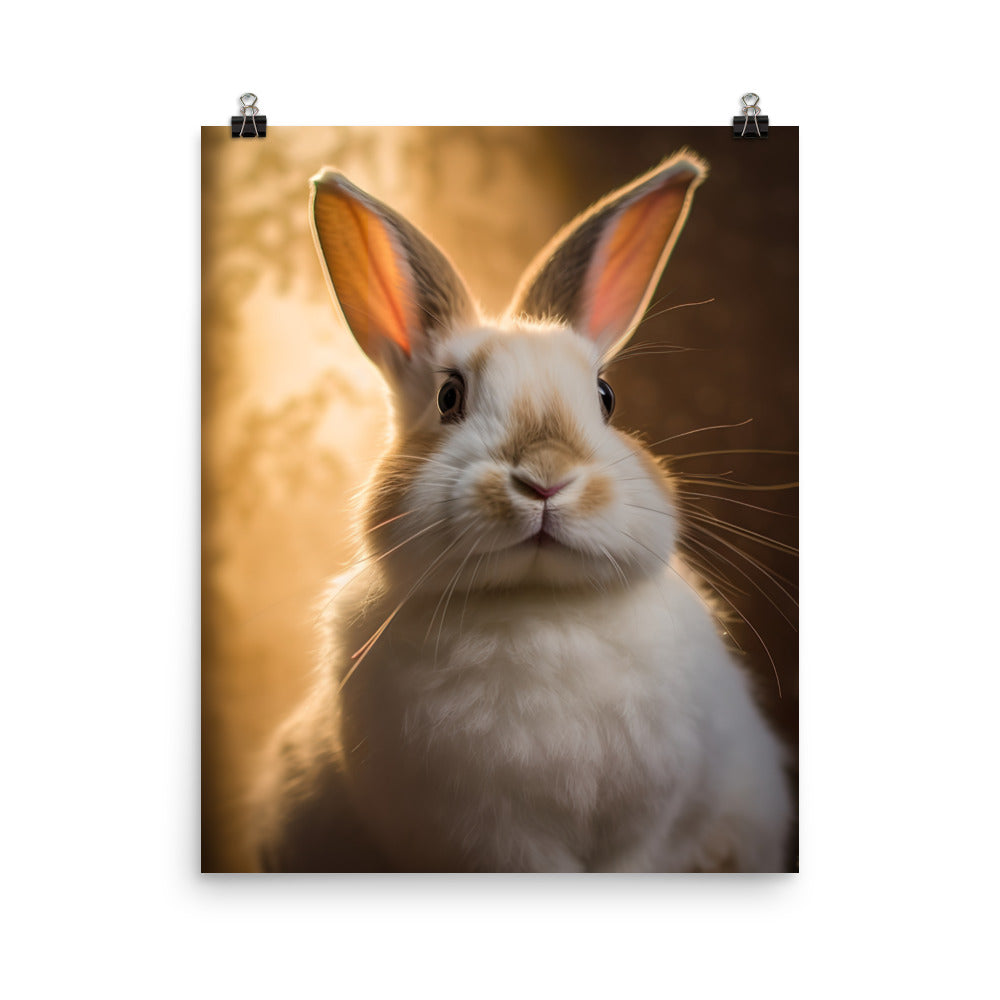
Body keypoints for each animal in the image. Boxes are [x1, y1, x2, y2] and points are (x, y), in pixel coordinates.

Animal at [249, 152, 792, 873]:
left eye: (606, 396)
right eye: (449, 397)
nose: (545, 479)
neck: (541, 605)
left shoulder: (649, 827)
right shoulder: (488, 838)